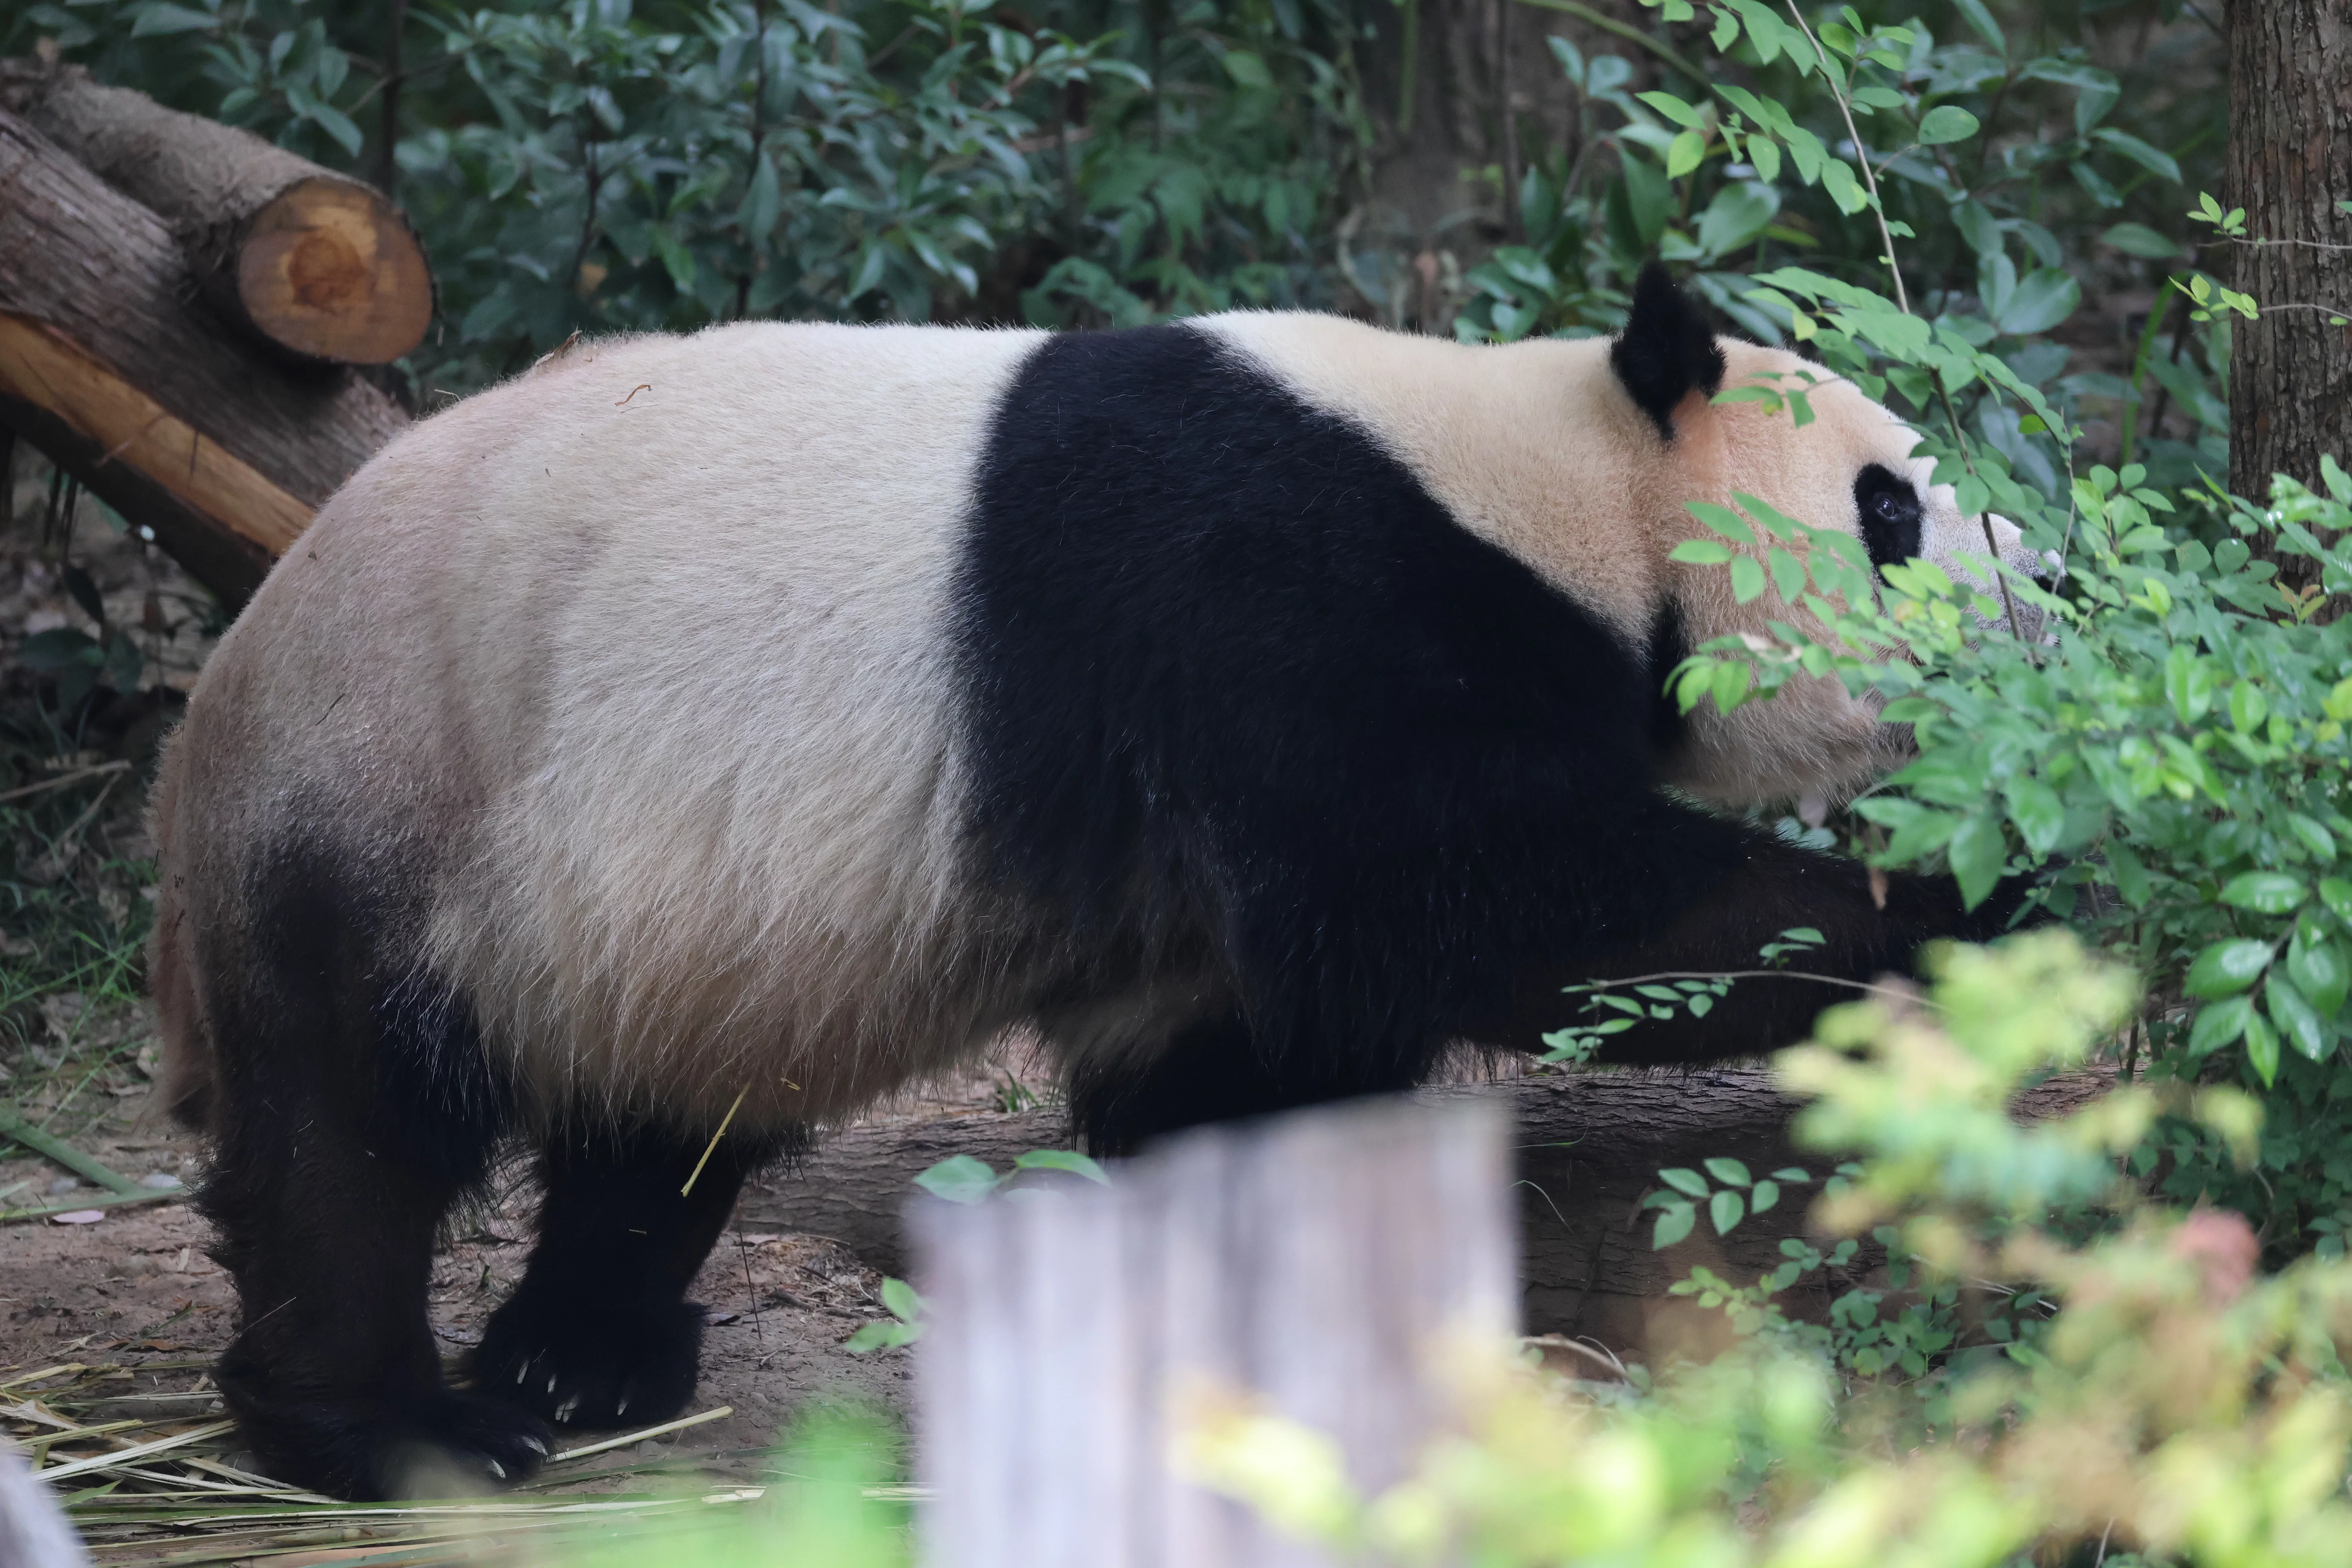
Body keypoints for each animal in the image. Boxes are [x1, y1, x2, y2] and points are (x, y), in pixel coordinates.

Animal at [146, 263, 2040, 1498]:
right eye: (1889, 507)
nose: (2042, 606)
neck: (1544, 482)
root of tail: (217, 697)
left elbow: (1247, 1064)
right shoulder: (1286, 599)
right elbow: (1485, 905)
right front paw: (1961, 912)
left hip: (642, 898)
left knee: (657, 1119)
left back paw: (589, 1352)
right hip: (398, 795)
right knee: (348, 1128)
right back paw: (398, 1427)